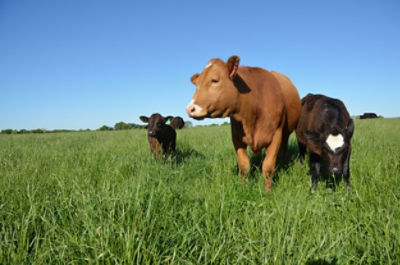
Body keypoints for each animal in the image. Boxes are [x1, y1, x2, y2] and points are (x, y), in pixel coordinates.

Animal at [185, 55, 300, 190]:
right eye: (196, 84)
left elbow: (268, 166)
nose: (190, 109)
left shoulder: (276, 134)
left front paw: (268, 189)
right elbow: (244, 165)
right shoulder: (236, 136)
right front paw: (242, 186)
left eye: (215, 80)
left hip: (286, 132)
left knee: (283, 149)